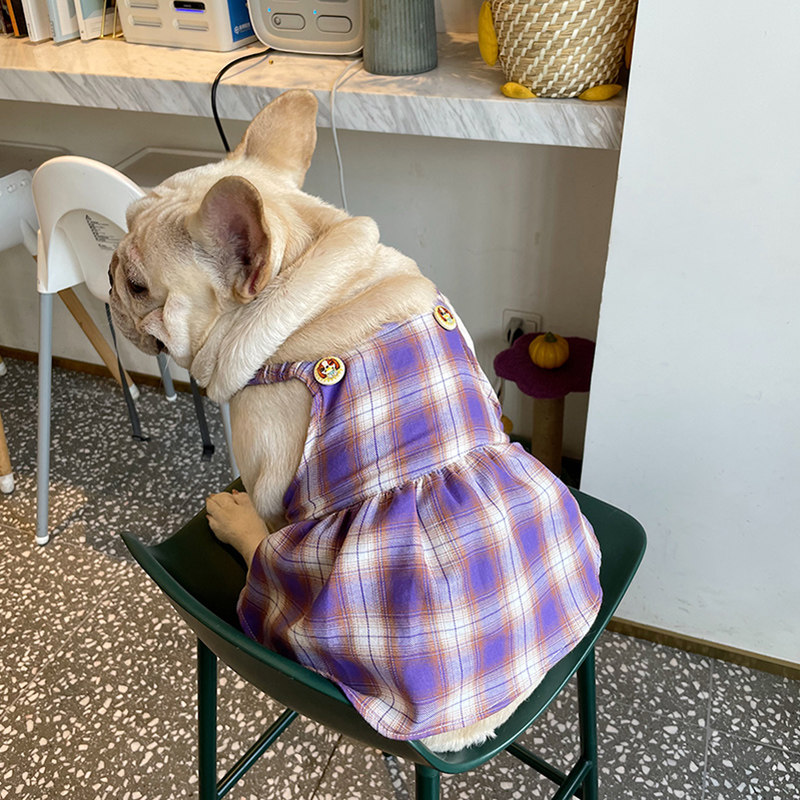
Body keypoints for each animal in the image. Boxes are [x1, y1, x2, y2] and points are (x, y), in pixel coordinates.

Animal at [109, 90, 602, 752]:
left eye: (139, 287)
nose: (109, 271)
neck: (310, 286)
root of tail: (472, 728)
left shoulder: (268, 471)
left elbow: (269, 510)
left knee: (265, 552)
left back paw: (235, 522)